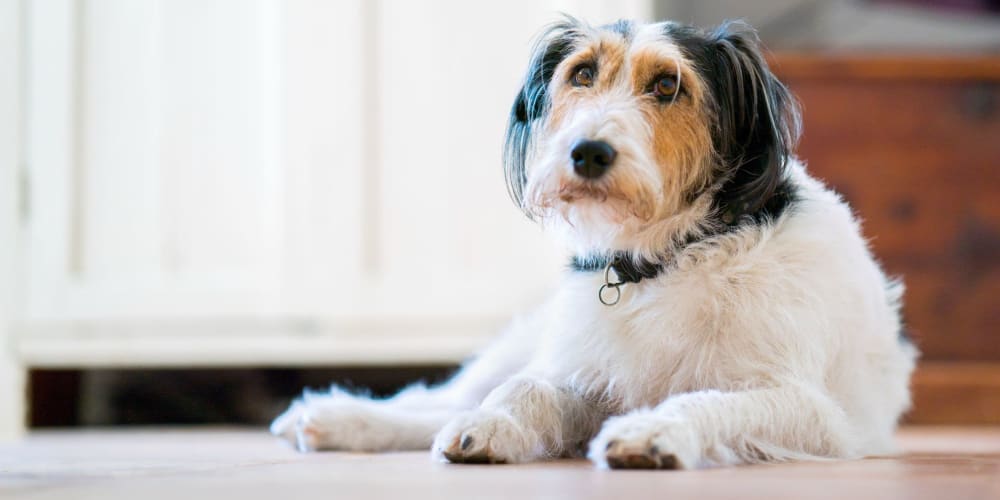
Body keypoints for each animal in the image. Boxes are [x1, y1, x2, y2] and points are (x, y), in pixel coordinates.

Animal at [270, 16, 916, 468]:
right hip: (533, 340)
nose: (587, 152)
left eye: (667, 85)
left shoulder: (809, 408)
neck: (664, 260)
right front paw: (493, 427)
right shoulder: (583, 370)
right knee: (447, 396)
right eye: (582, 73)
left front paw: (653, 431)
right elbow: (527, 388)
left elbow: (708, 400)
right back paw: (334, 417)